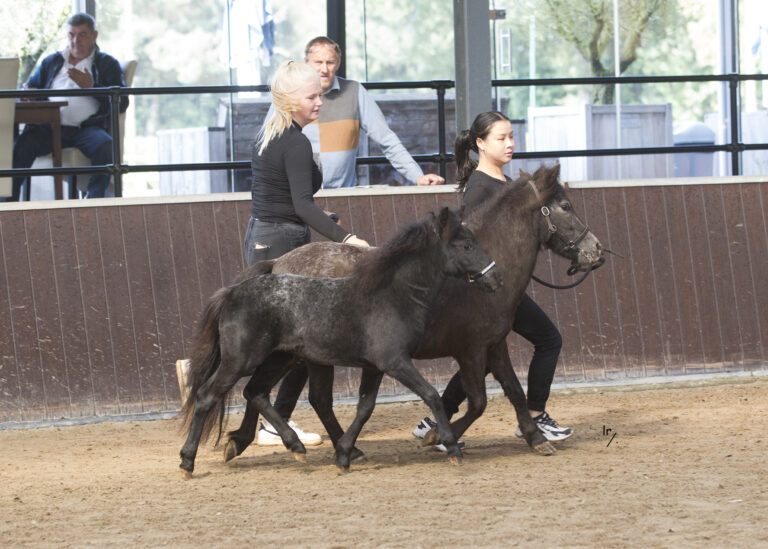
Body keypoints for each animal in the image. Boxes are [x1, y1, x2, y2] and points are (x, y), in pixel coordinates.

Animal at [182, 206, 504, 476]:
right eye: (466, 245)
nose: (497, 279)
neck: (392, 296)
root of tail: (231, 293)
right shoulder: (396, 362)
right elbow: (431, 395)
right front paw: (451, 448)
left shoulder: (374, 367)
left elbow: (365, 407)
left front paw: (345, 455)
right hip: (241, 360)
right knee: (208, 396)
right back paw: (187, 461)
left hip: (279, 358)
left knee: (256, 393)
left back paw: (294, 446)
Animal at [225, 164, 604, 466]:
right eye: (566, 206)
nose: (596, 251)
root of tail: (277, 263)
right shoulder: (470, 350)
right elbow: (478, 402)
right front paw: (440, 437)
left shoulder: (495, 345)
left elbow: (513, 390)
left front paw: (535, 437)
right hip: (299, 354)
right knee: (275, 392)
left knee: (283, 394)